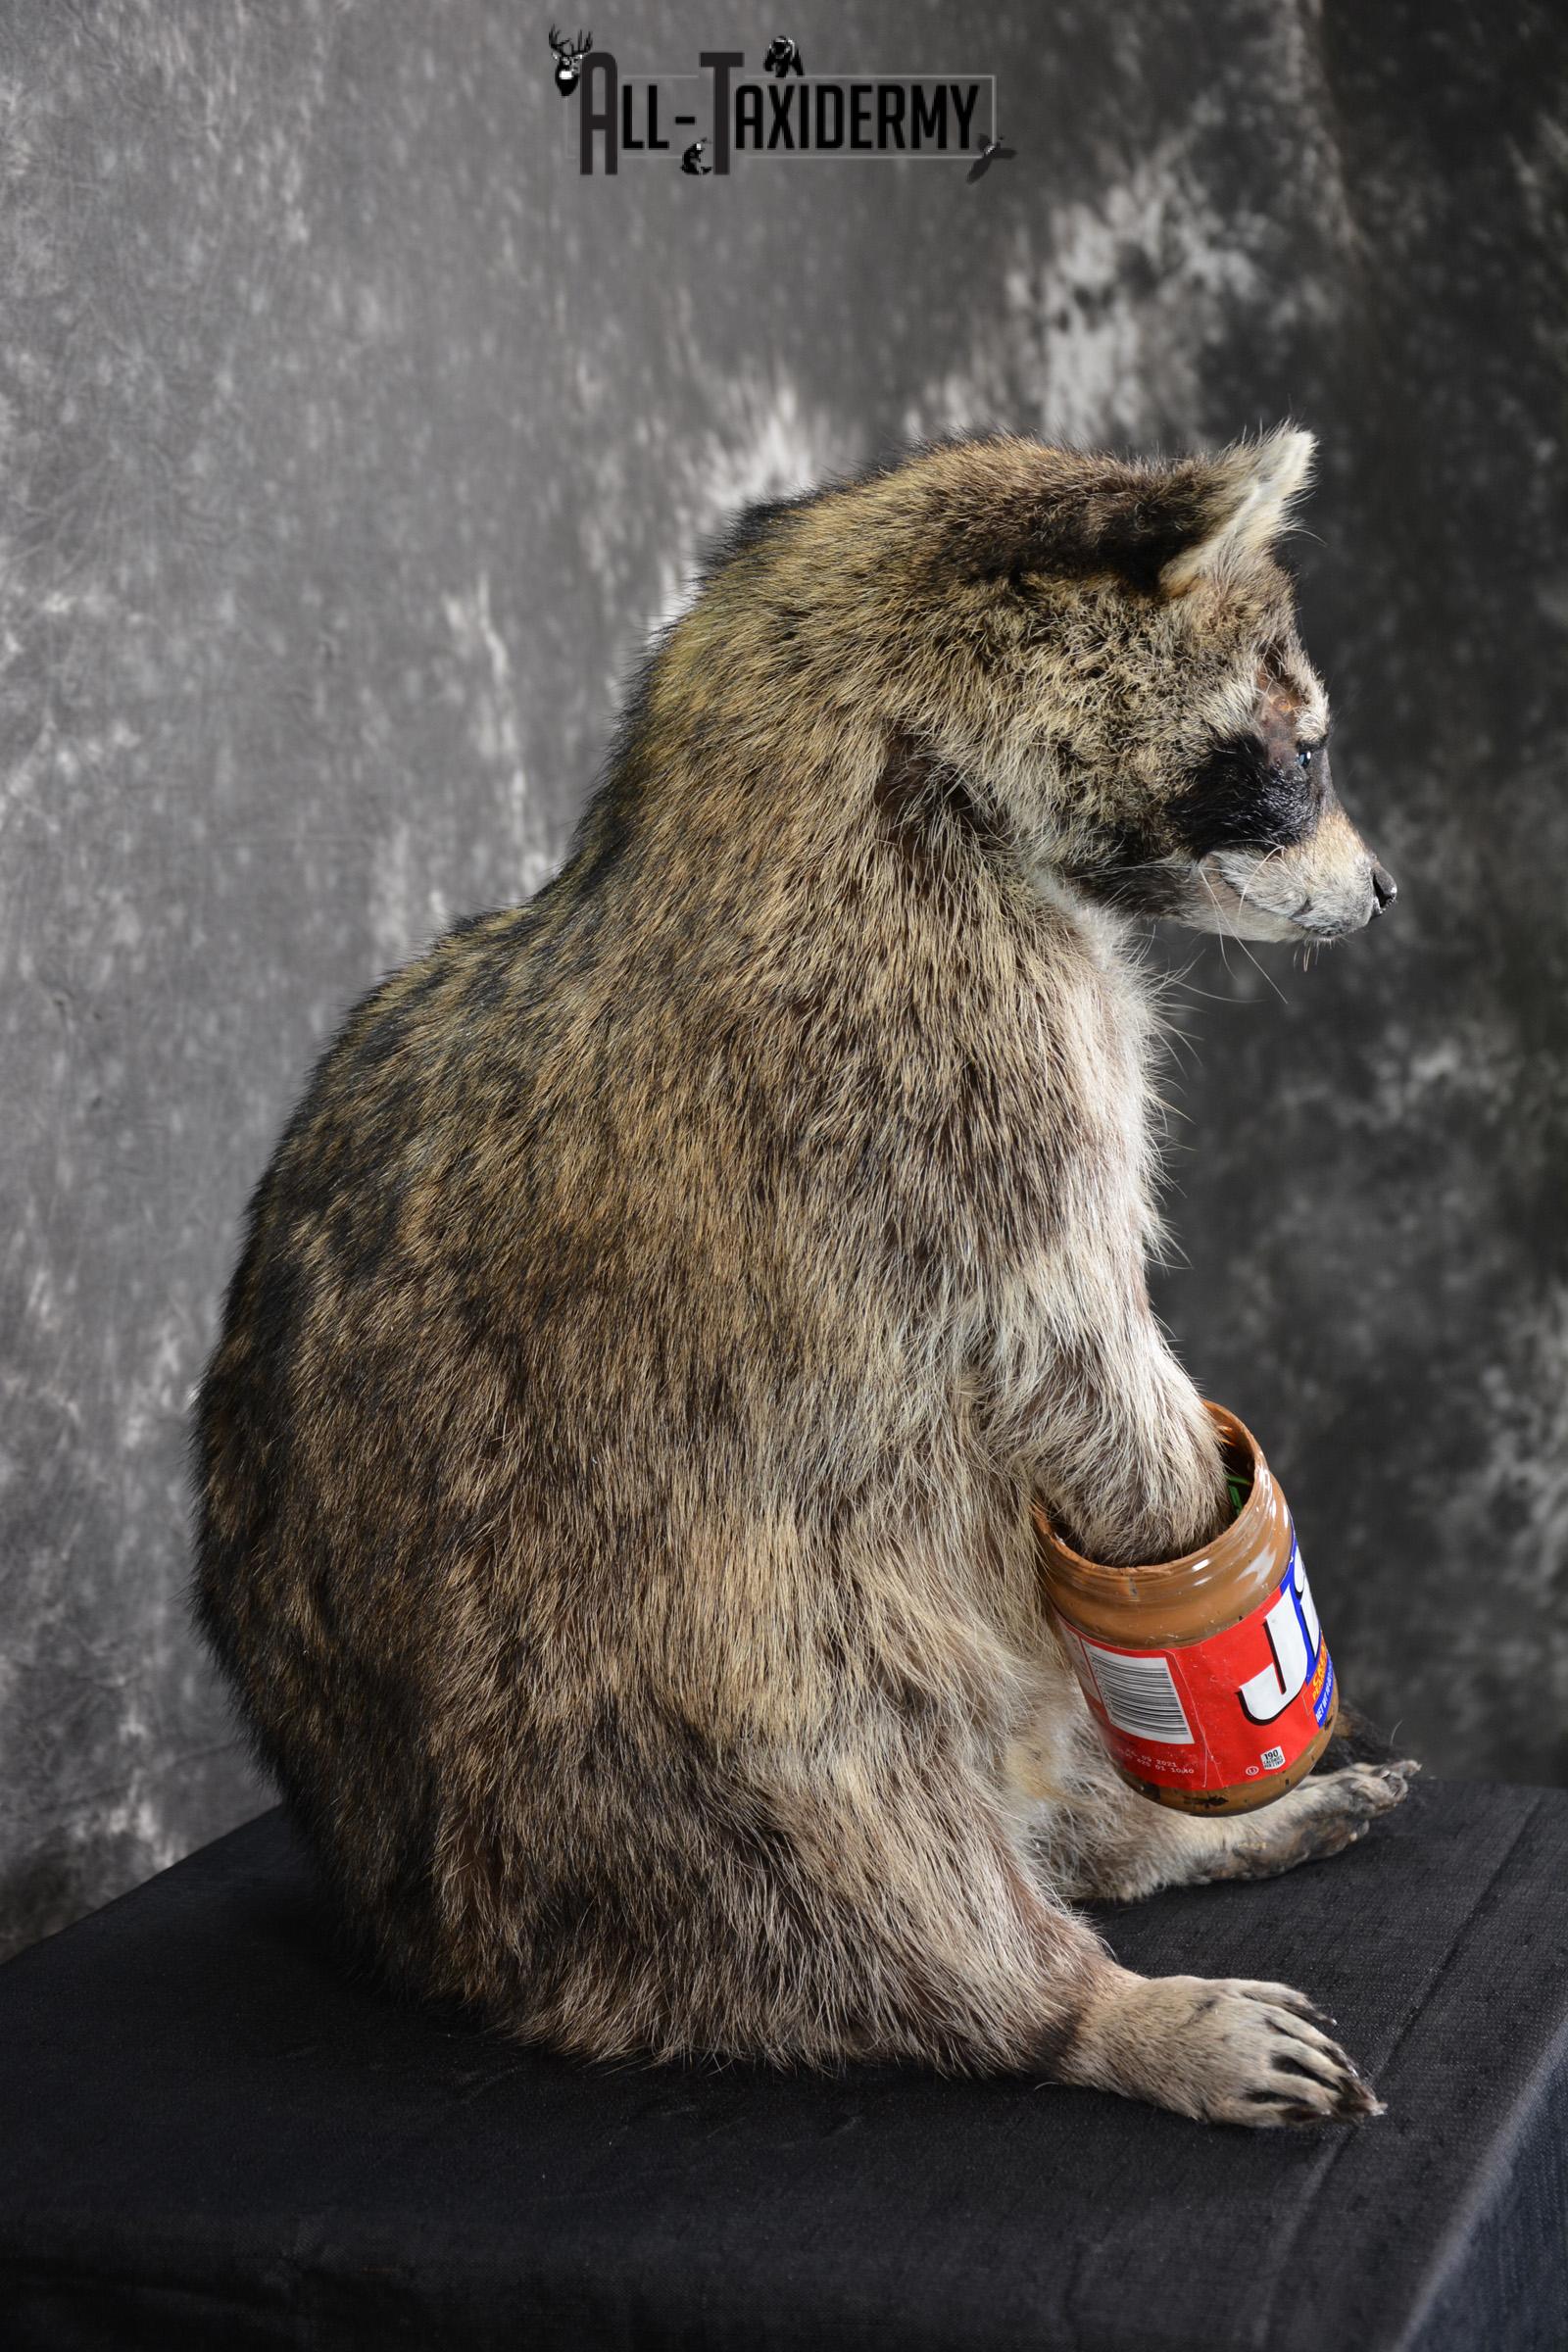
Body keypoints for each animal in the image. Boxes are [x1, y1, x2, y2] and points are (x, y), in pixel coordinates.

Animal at [195, 428, 1413, 2128]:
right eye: (1298, 758)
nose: (1386, 896)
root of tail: (446, 1946)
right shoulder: (952, 1061)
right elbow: (1074, 1355)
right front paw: (1220, 1573)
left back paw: (1145, 1839)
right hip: (639, 1728)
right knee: (853, 1859)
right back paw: (1084, 2008)